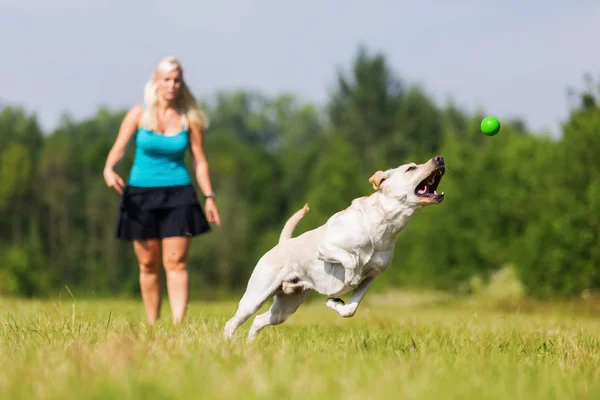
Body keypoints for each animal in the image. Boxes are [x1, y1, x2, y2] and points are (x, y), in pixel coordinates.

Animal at [223, 155, 442, 340]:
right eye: (410, 168)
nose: (439, 159)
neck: (384, 223)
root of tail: (283, 243)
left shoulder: (372, 277)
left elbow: (351, 308)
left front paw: (334, 302)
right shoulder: (326, 248)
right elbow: (351, 260)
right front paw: (348, 280)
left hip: (285, 307)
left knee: (259, 321)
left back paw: (250, 345)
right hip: (255, 297)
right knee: (232, 323)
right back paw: (229, 345)